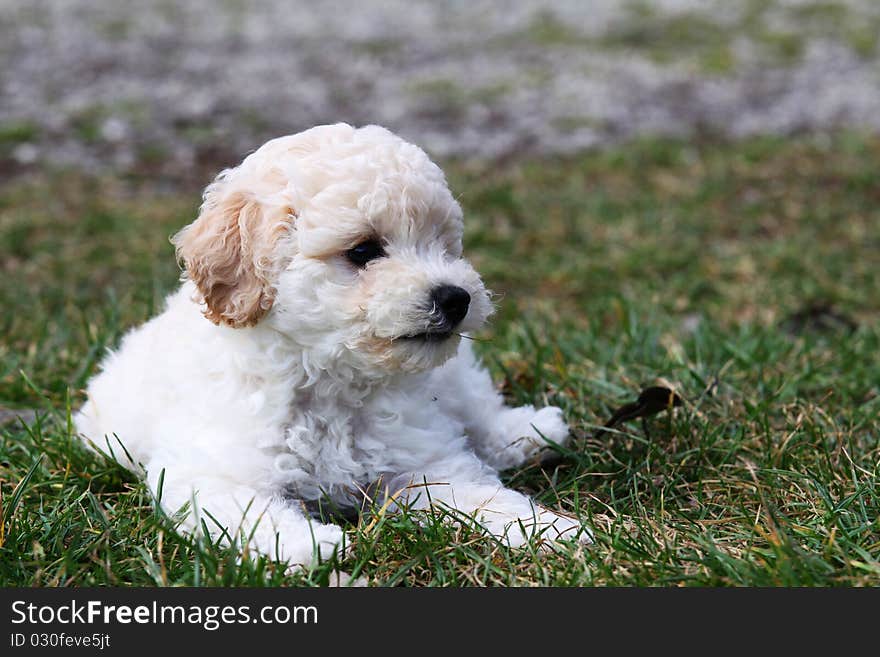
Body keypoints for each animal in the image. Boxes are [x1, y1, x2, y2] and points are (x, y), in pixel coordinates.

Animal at [74, 124, 584, 568]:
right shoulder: (213, 473)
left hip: (453, 376)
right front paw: (309, 545)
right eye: (362, 251)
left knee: (476, 410)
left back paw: (530, 432)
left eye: (444, 246)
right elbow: (251, 513)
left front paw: (553, 530)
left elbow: (482, 495)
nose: (457, 298)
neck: (332, 379)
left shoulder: (422, 462)